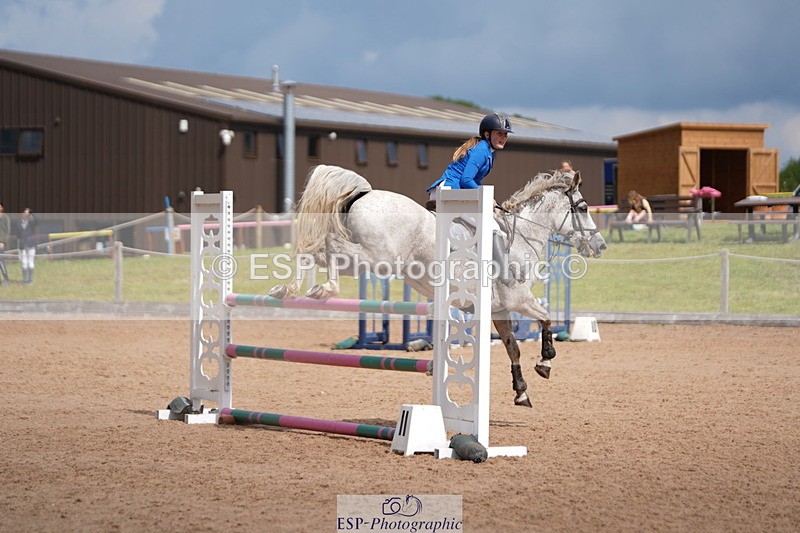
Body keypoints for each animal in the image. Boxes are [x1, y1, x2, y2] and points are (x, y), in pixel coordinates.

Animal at [269, 165, 606, 407]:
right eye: (583, 207)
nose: (600, 246)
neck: (522, 236)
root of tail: (364, 193)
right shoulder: (519, 300)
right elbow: (546, 319)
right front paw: (545, 361)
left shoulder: (499, 310)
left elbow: (513, 348)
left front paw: (521, 392)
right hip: (376, 258)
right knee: (328, 244)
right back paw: (325, 289)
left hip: (365, 260)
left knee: (314, 251)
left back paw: (288, 290)